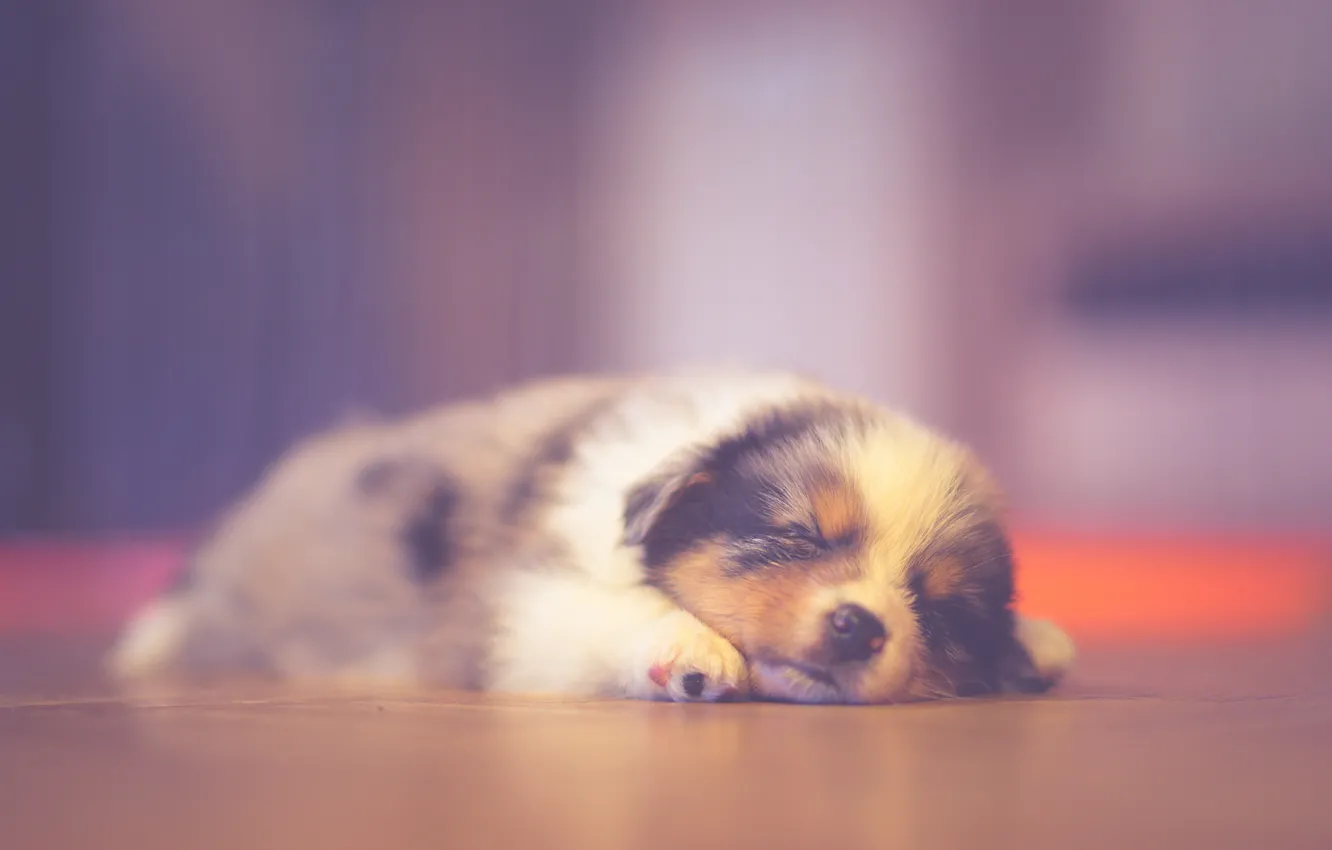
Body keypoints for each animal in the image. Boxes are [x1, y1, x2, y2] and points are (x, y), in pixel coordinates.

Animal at [109, 373, 1076, 703]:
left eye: (936, 609)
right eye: (797, 534)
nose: (860, 625)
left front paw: (1035, 641)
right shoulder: (516, 605)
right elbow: (609, 611)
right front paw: (690, 649)